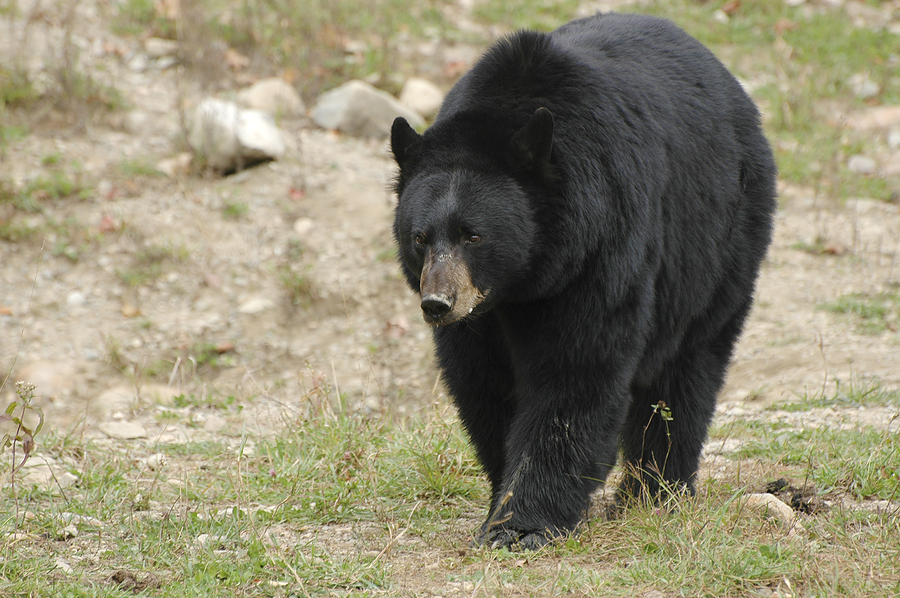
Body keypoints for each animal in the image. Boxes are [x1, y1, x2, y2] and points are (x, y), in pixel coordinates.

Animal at [390, 11, 776, 552]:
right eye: (420, 237)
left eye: (473, 235)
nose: (438, 304)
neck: (526, 281)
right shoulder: (482, 315)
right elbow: (483, 383)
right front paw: (502, 502)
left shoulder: (601, 245)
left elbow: (575, 370)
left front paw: (522, 524)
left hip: (720, 244)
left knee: (687, 371)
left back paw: (655, 492)